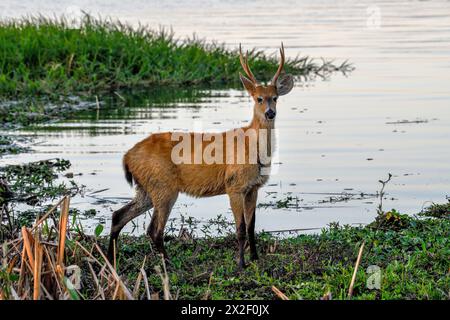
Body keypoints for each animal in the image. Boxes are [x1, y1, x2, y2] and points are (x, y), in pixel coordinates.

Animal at [107, 43, 294, 268]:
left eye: (275, 98)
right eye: (258, 98)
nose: (270, 113)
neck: (252, 148)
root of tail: (127, 157)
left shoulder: (253, 188)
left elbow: (251, 227)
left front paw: (255, 259)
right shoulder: (234, 185)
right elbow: (240, 228)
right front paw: (240, 263)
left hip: (147, 187)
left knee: (119, 215)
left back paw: (110, 259)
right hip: (164, 186)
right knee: (154, 230)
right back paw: (168, 263)